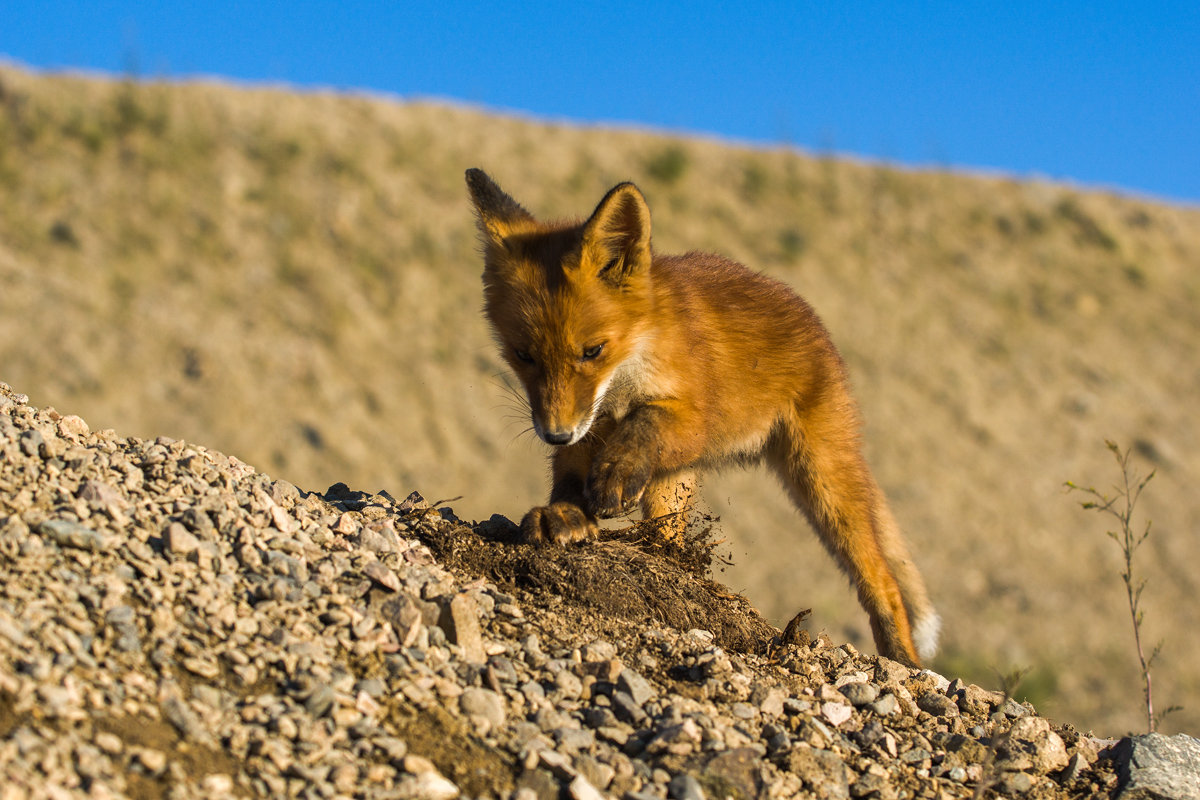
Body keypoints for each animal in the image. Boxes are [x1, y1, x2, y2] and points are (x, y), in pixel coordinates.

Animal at [463, 167, 940, 662]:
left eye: (592, 351)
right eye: (523, 355)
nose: (555, 435)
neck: (626, 376)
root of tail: (809, 317)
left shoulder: (695, 418)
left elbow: (645, 423)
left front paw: (613, 475)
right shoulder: (588, 426)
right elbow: (571, 480)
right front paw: (567, 515)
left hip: (820, 477)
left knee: (882, 578)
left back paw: (902, 659)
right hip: (678, 483)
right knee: (666, 533)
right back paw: (664, 556)